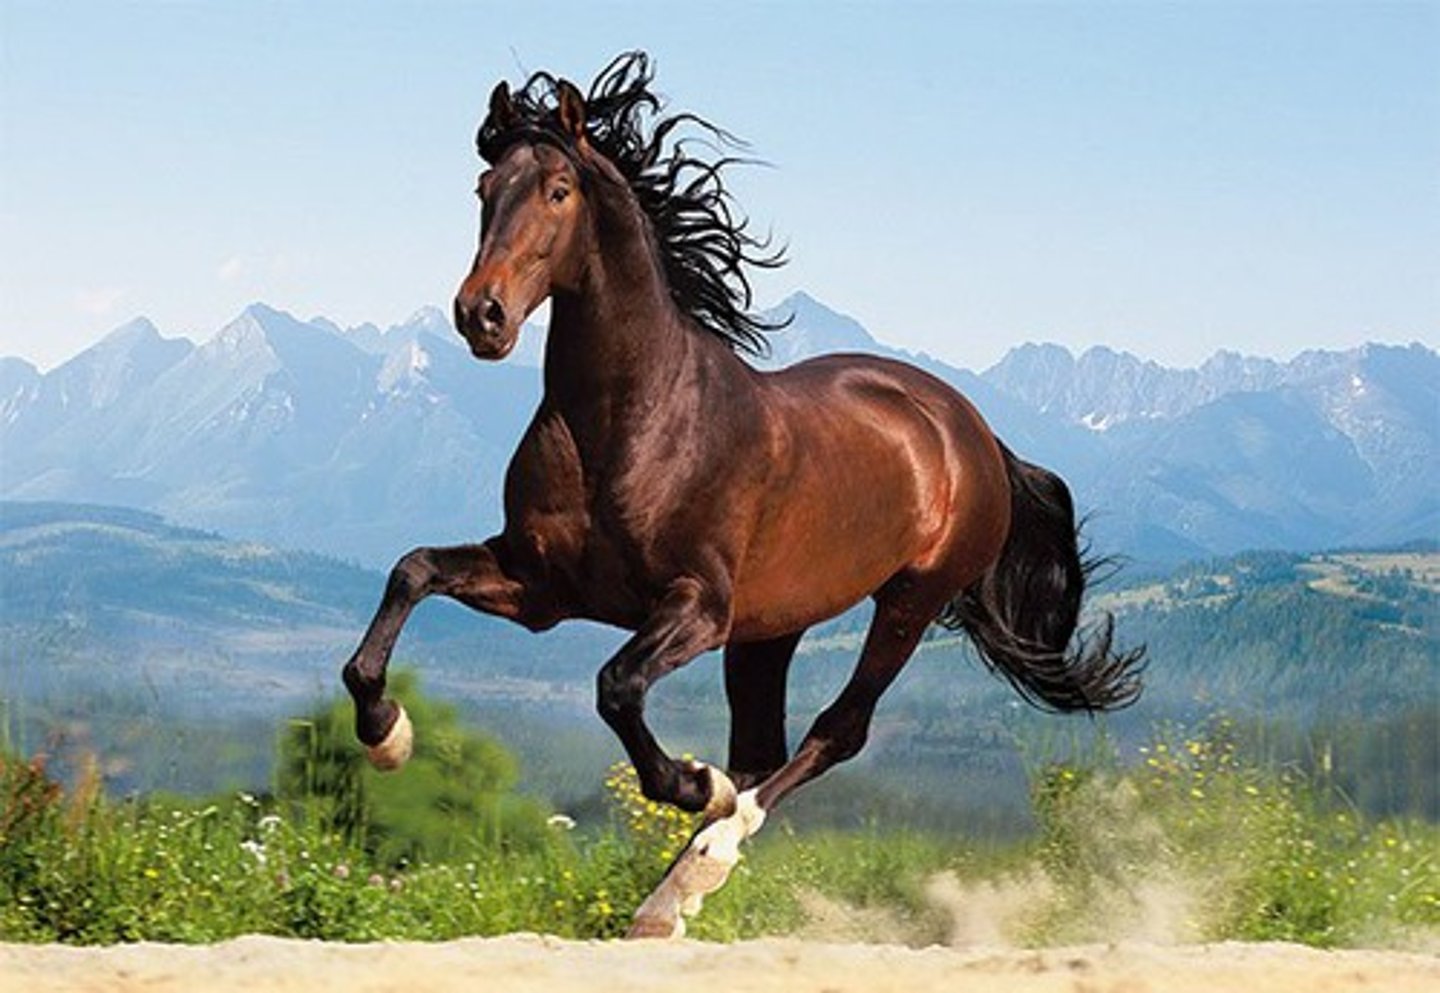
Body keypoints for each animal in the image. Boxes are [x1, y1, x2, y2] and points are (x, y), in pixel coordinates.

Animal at [342, 52, 1144, 937]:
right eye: (484, 187)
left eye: (557, 189)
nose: (479, 315)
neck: (629, 421)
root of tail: (972, 431)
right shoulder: (539, 585)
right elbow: (412, 571)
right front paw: (385, 733)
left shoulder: (698, 606)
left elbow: (617, 687)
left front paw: (695, 783)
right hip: (774, 624)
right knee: (765, 742)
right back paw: (672, 894)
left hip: (908, 598)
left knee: (834, 732)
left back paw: (710, 850)